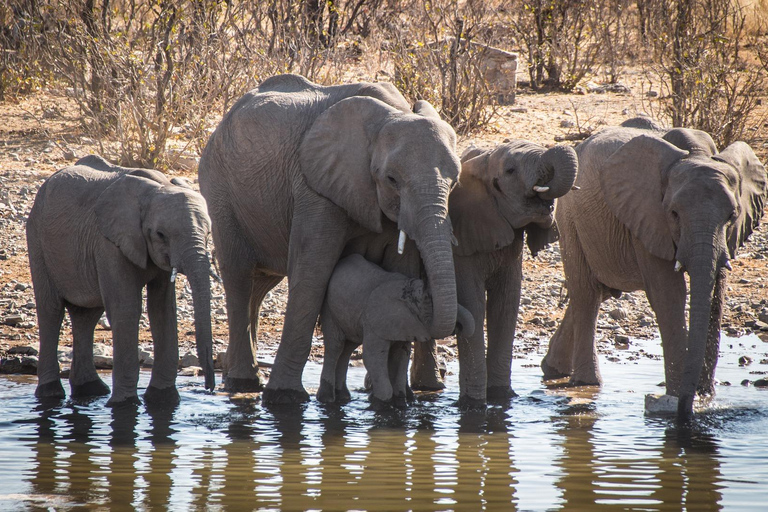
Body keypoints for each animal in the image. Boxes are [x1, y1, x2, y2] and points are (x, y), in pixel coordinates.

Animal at [27, 155, 216, 404]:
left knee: (86, 315)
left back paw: (91, 390)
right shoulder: (108, 243)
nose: (210, 389)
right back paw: (51, 395)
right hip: (37, 238)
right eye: (160, 235)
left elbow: (163, 310)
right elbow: (126, 309)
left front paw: (162, 399)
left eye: (208, 234)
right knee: (51, 310)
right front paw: (125, 404)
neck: (158, 187)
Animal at [200, 74, 462, 402]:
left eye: (455, 182)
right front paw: (285, 398)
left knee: (259, 284)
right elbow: (312, 272)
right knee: (238, 276)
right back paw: (243, 384)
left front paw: (397, 397)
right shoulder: (315, 187)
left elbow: (402, 268)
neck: (392, 113)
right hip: (220, 190)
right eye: (392, 179)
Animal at [314, 255, 472, 408]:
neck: (406, 288)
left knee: (348, 348)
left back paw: (344, 397)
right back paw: (327, 399)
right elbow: (373, 356)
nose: (459, 327)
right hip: (329, 307)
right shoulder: (375, 319)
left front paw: (401, 404)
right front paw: (381, 404)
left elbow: (401, 357)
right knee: (336, 346)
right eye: (427, 303)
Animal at [540, 122, 768, 422]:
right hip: (570, 216)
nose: (689, 406)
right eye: (673, 214)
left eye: (732, 215)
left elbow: (715, 295)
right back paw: (586, 382)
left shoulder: (727, 237)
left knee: (600, 291)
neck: (696, 153)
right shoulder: (648, 215)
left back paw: (553, 370)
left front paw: (704, 398)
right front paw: (678, 400)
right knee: (586, 293)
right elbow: (669, 294)